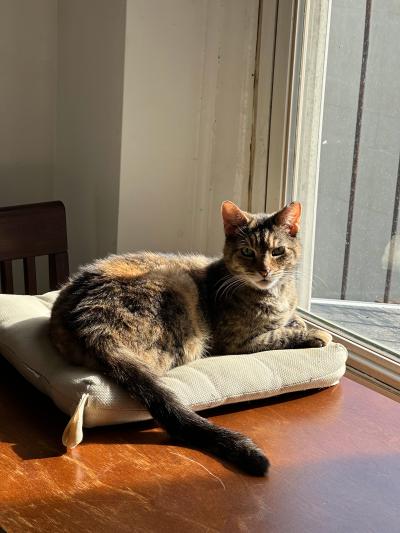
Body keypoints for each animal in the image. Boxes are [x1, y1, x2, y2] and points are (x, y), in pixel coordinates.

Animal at [50, 200, 332, 474]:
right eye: (247, 252)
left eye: (278, 252)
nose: (264, 271)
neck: (276, 294)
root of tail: (86, 321)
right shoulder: (236, 342)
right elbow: (279, 335)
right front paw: (317, 334)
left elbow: (292, 321)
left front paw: (300, 322)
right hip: (179, 292)